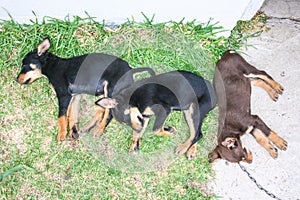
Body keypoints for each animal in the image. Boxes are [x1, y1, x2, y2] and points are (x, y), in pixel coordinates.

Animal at [15, 37, 155, 141]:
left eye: (24, 65)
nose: (17, 80)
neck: (52, 66)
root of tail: (131, 70)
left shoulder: (63, 95)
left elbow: (61, 116)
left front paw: (61, 134)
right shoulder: (74, 96)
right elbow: (72, 115)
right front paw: (73, 133)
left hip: (111, 89)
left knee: (108, 112)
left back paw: (99, 130)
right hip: (103, 92)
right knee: (101, 110)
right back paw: (86, 127)